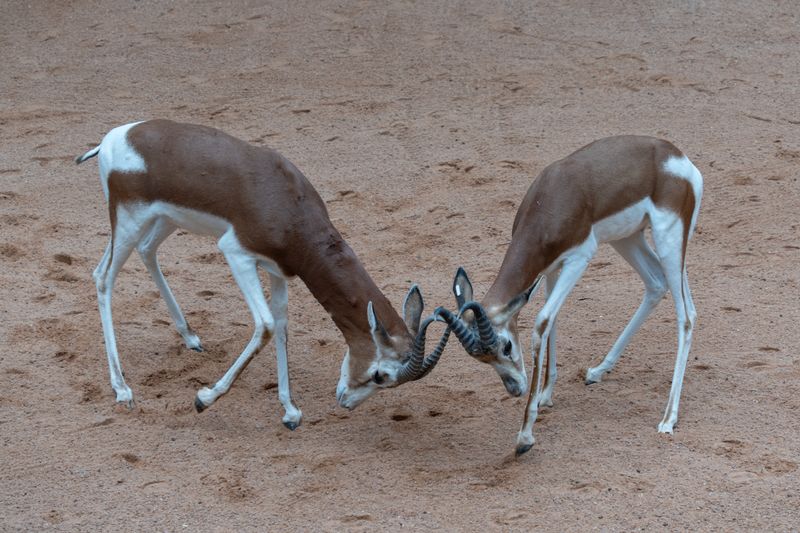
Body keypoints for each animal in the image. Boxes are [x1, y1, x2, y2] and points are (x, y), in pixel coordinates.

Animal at [75, 119, 449, 430]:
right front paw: (204, 398)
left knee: (146, 251)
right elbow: (266, 325)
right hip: (129, 221)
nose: (345, 402)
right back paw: (122, 389)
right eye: (381, 375)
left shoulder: (278, 269)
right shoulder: (237, 254)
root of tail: (113, 138)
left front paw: (290, 411)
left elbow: (282, 325)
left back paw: (191, 337)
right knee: (103, 276)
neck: (287, 204)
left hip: (163, 220)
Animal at [435, 135, 702, 455]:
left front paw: (525, 436)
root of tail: (677, 157)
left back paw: (668, 418)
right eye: (482, 360)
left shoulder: (579, 259)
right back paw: (597, 371)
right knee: (657, 283)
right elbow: (553, 320)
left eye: (507, 346)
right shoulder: (550, 267)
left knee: (686, 316)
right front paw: (545, 395)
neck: (551, 200)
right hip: (629, 237)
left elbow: (542, 321)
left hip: (668, 238)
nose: (516, 389)